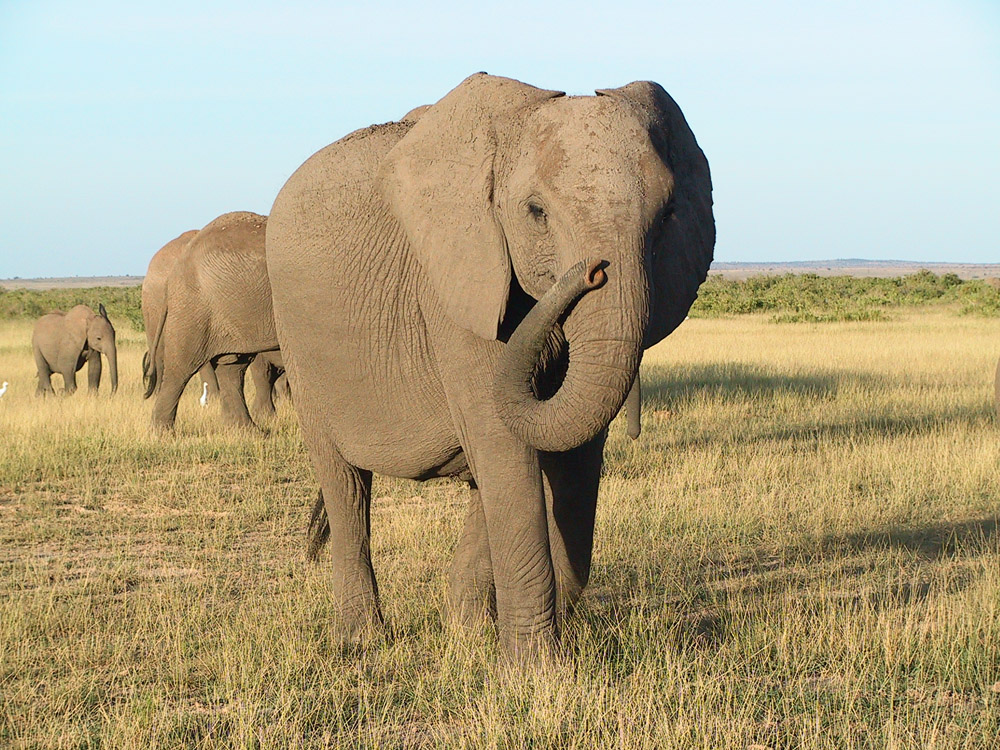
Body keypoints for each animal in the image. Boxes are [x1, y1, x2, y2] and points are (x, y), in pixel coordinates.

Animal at [267, 73, 715, 655]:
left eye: (668, 215)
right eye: (536, 212)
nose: (592, 272)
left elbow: (567, 452)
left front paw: (494, 644)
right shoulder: (458, 288)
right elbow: (506, 446)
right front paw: (536, 671)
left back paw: (466, 626)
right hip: (299, 345)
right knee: (345, 484)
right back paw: (364, 642)